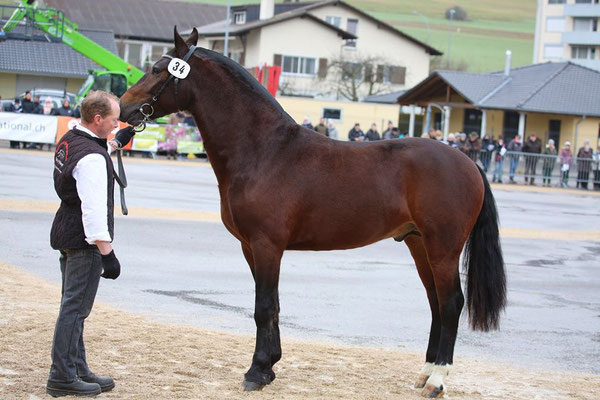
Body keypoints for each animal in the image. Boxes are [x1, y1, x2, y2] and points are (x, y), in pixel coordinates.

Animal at [120, 27, 506, 396]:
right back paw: (425, 373)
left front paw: (256, 371)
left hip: (443, 248)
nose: (123, 107)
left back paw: (437, 381)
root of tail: (468, 161)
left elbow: (263, 306)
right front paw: (270, 367)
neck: (264, 150)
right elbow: (273, 305)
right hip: (419, 244)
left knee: (451, 303)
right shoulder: (251, 247)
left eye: (157, 69)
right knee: (436, 304)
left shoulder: (266, 245)